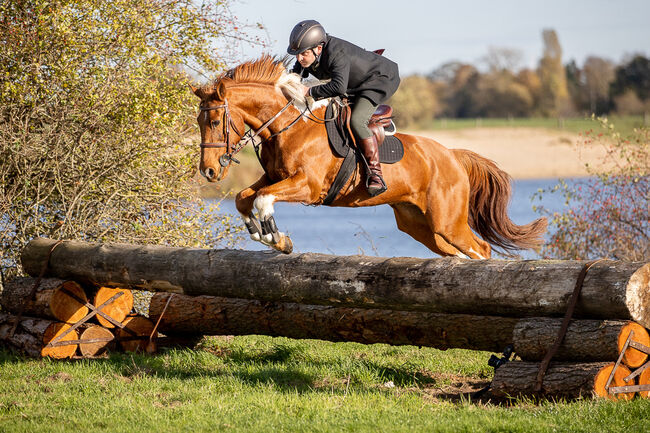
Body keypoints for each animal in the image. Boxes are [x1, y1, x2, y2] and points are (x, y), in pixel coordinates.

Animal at [191, 54, 540, 256]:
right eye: (198, 121)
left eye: (214, 122)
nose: (208, 171)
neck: (288, 125)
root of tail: (452, 155)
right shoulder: (275, 177)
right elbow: (244, 198)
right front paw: (266, 236)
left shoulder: (307, 186)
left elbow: (263, 199)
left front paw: (277, 238)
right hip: (422, 226)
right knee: (456, 253)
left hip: (448, 221)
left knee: (480, 249)